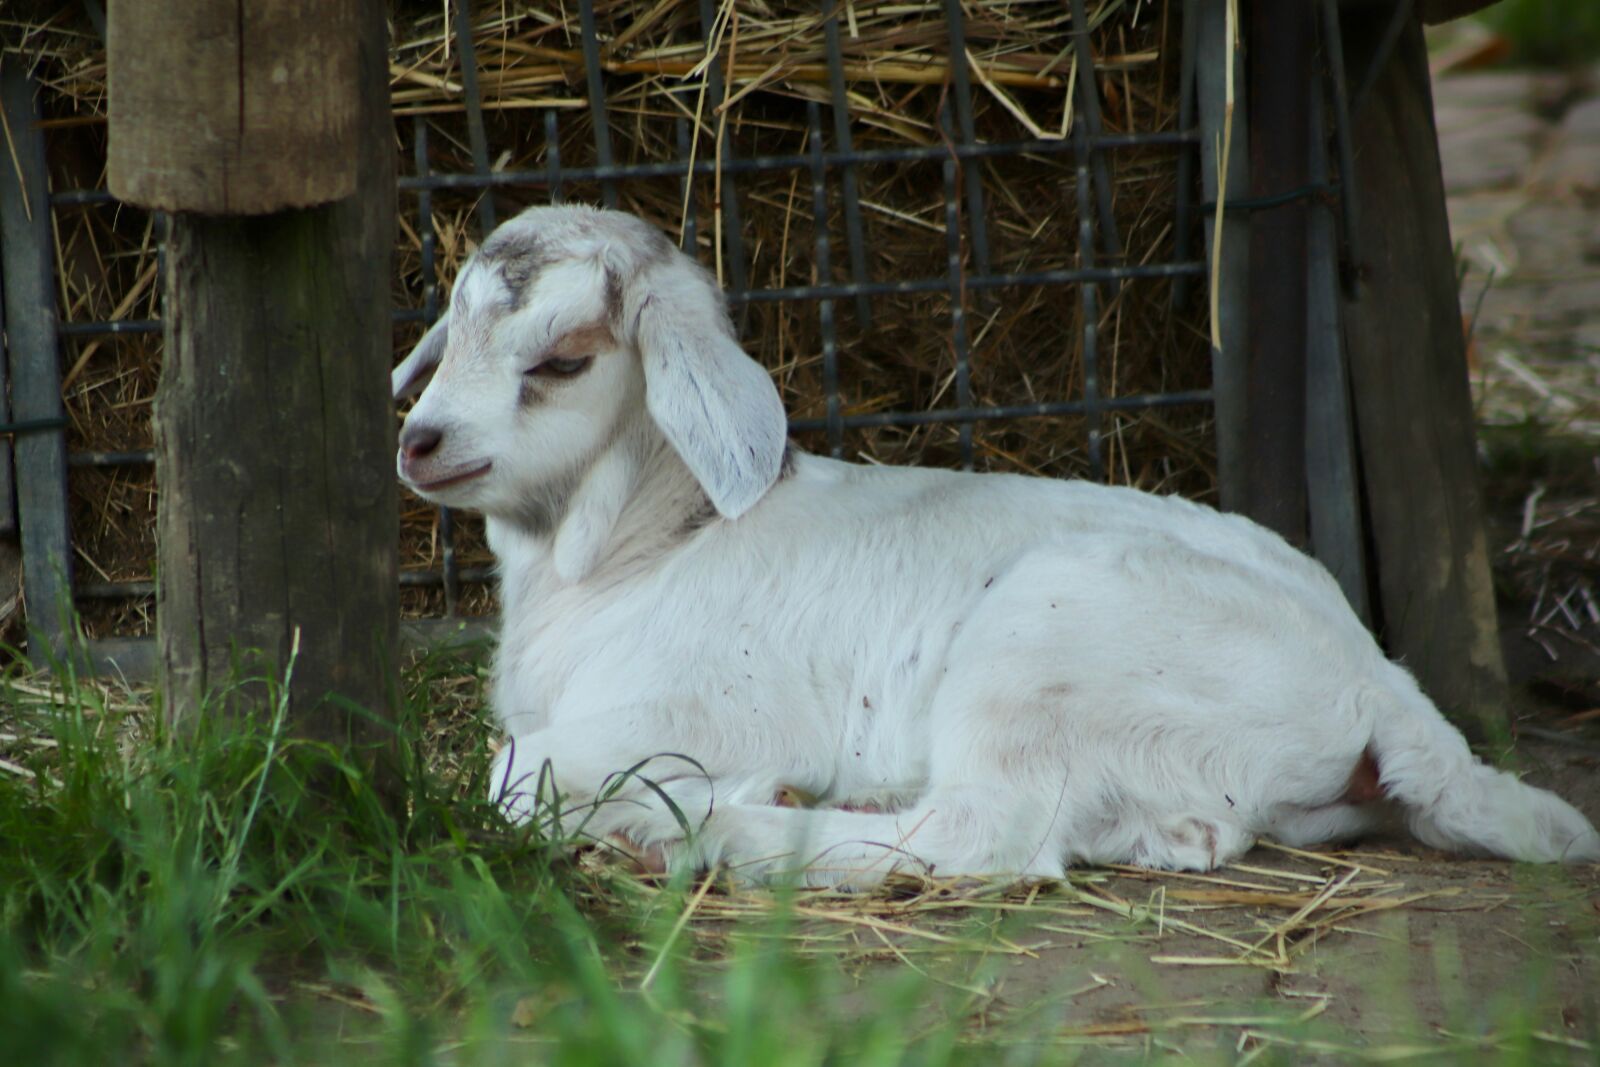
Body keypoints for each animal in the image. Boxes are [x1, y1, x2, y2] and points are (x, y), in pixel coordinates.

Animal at [393, 204, 1599, 886]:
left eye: (563, 359)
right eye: (451, 331)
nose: (419, 439)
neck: (643, 550)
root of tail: (1380, 684)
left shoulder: (682, 708)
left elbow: (510, 774)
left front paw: (672, 804)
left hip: (1042, 651)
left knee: (991, 833)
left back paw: (715, 835)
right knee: (1179, 833)